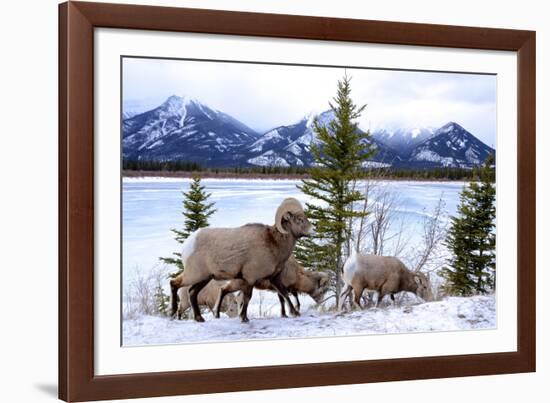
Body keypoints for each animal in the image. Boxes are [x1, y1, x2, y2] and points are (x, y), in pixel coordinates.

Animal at [168, 197, 314, 324]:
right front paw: (244, 318)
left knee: (192, 292)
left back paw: (199, 318)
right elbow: (247, 298)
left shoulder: (275, 278)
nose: (313, 230)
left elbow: (284, 294)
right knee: (174, 283)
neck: (274, 243)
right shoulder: (250, 278)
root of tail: (188, 244)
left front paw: (295, 313)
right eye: (299, 219)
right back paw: (172, 313)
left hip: (204, 277)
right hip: (194, 275)